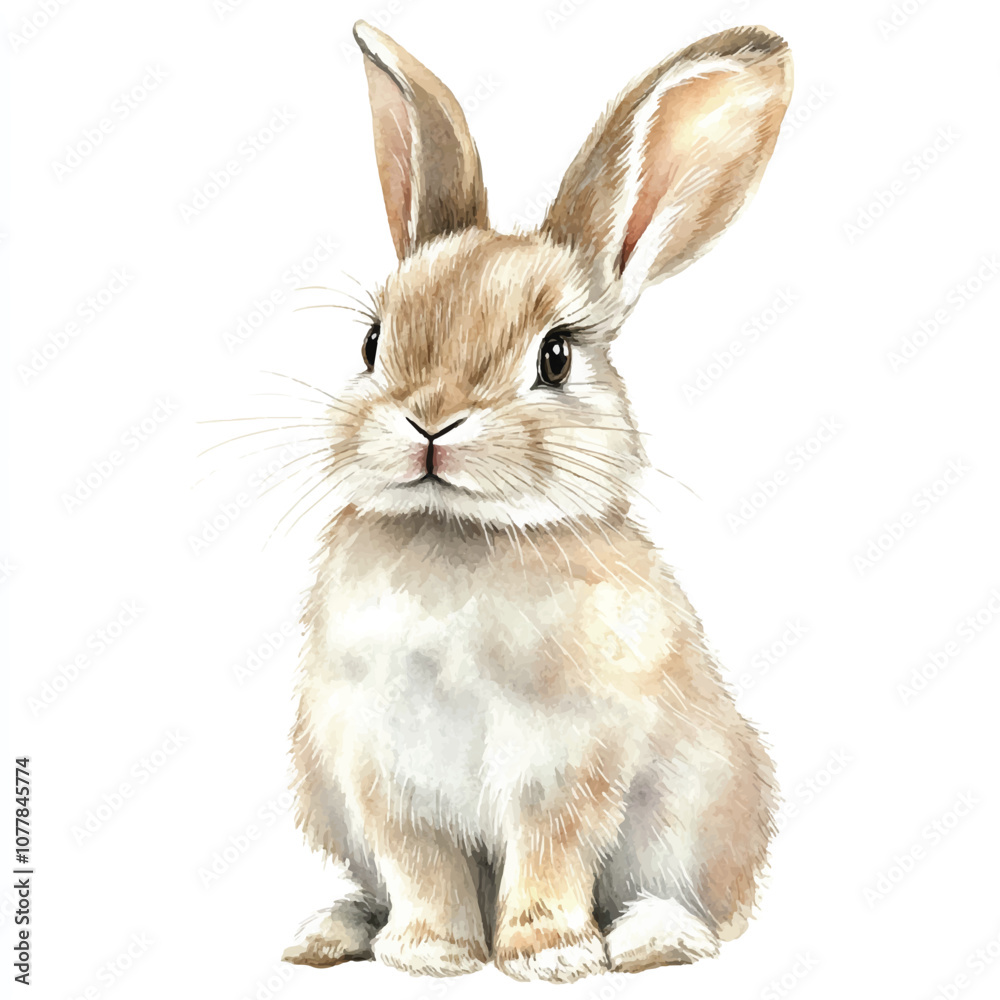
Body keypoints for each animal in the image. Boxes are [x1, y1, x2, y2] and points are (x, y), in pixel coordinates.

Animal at [281, 19, 793, 982]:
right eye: (371, 342)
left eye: (555, 356)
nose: (430, 421)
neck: (463, 536)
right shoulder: (380, 771)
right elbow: (422, 863)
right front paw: (432, 955)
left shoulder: (571, 764)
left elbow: (552, 850)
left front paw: (550, 957)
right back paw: (327, 933)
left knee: (699, 909)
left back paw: (649, 938)